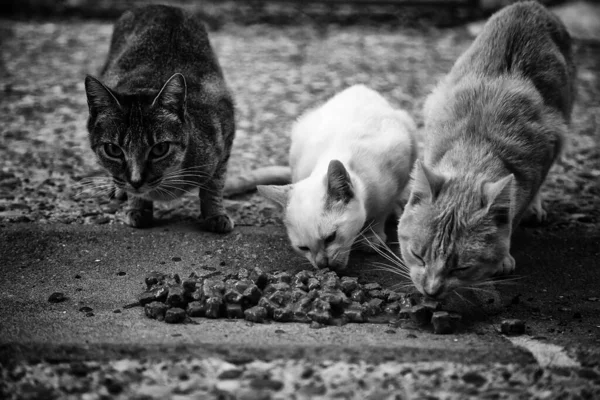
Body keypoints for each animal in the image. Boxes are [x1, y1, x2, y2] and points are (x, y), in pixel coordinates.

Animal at [85, 4, 236, 233]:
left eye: (160, 149)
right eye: (113, 149)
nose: (136, 181)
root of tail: (162, 6)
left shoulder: (225, 129)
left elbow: (214, 185)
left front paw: (215, 214)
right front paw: (138, 207)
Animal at [258, 84, 418, 272]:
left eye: (330, 238)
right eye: (303, 248)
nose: (322, 264)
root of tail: (358, 87)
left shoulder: (397, 173)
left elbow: (382, 211)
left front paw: (372, 236)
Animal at [396, 2, 576, 296]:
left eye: (461, 268)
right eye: (417, 256)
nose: (432, 292)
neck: (475, 145)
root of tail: (530, 5)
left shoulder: (550, 145)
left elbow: (516, 210)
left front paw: (503, 255)